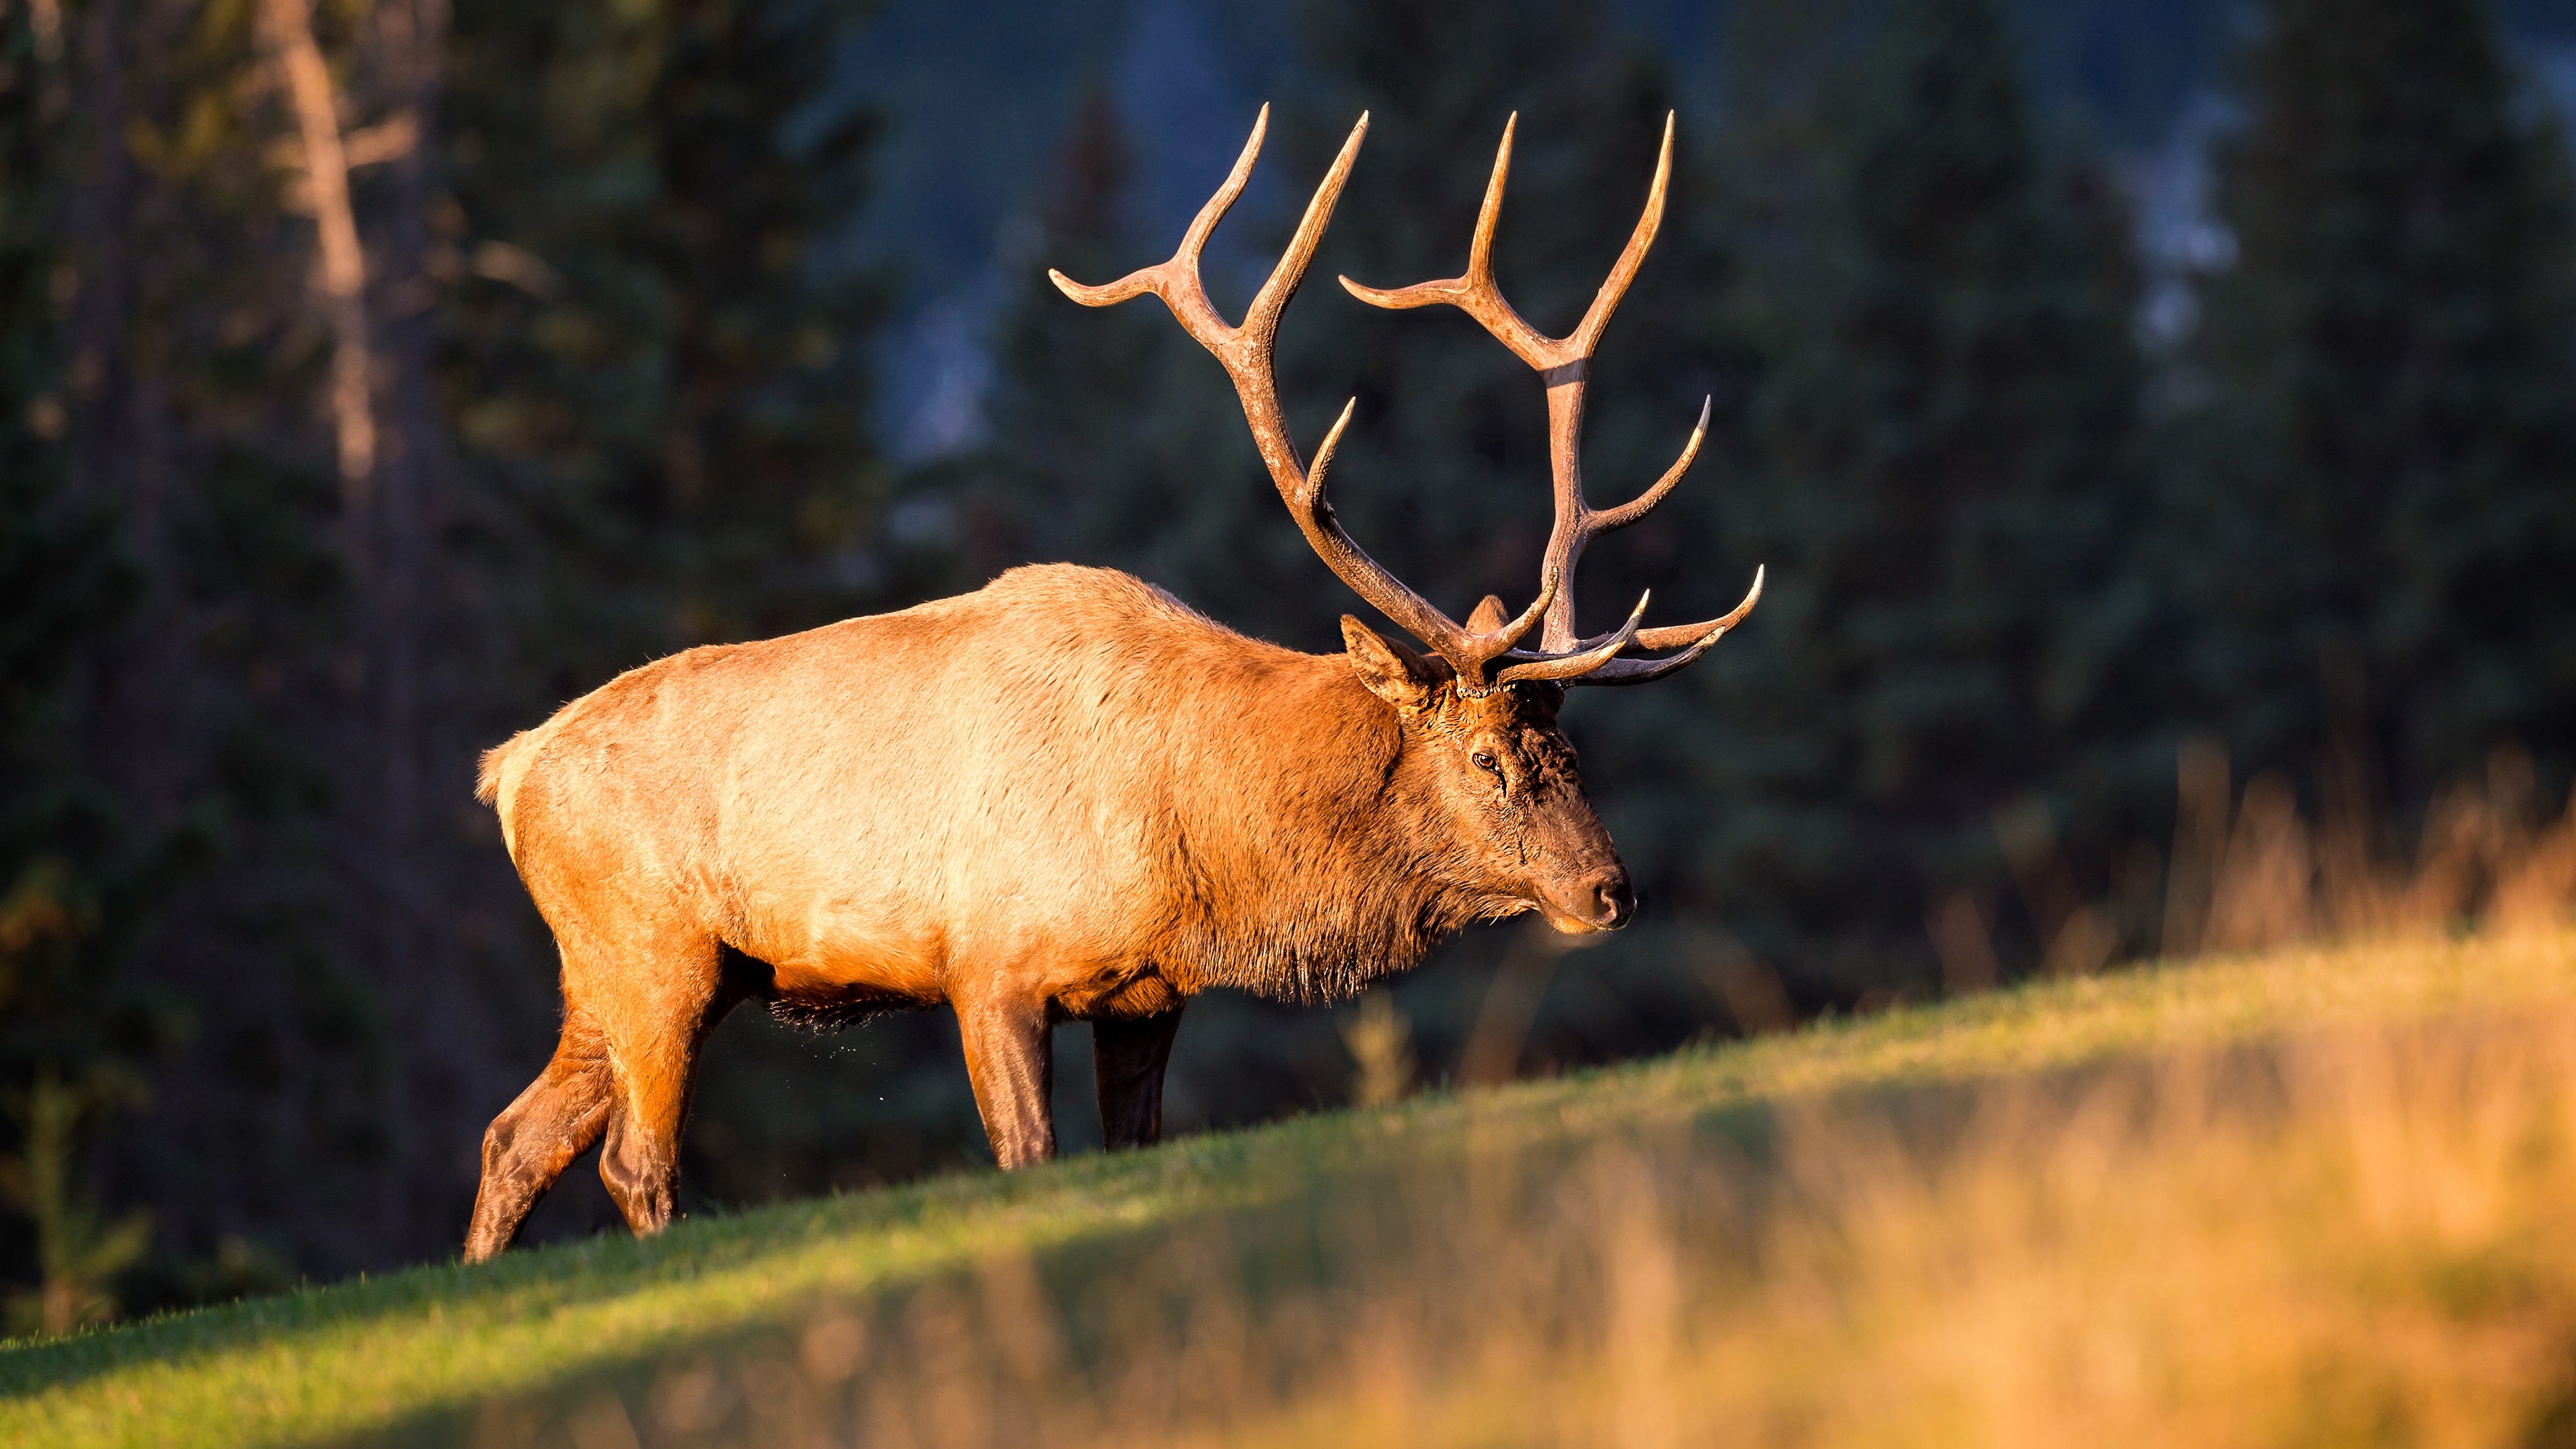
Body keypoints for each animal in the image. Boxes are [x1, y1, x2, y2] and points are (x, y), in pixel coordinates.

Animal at [464, 107, 1762, 1252]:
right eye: (1490, 760)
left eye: (1573, 751)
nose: (1610, 891)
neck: (1199, 836)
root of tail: (506, 769)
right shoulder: (990, 963)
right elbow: (1025, 1158)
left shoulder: (1148, 994)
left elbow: (1130, 1145)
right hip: (654, 953)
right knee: (634, 1160)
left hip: (622, 975)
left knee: (515, 1136)